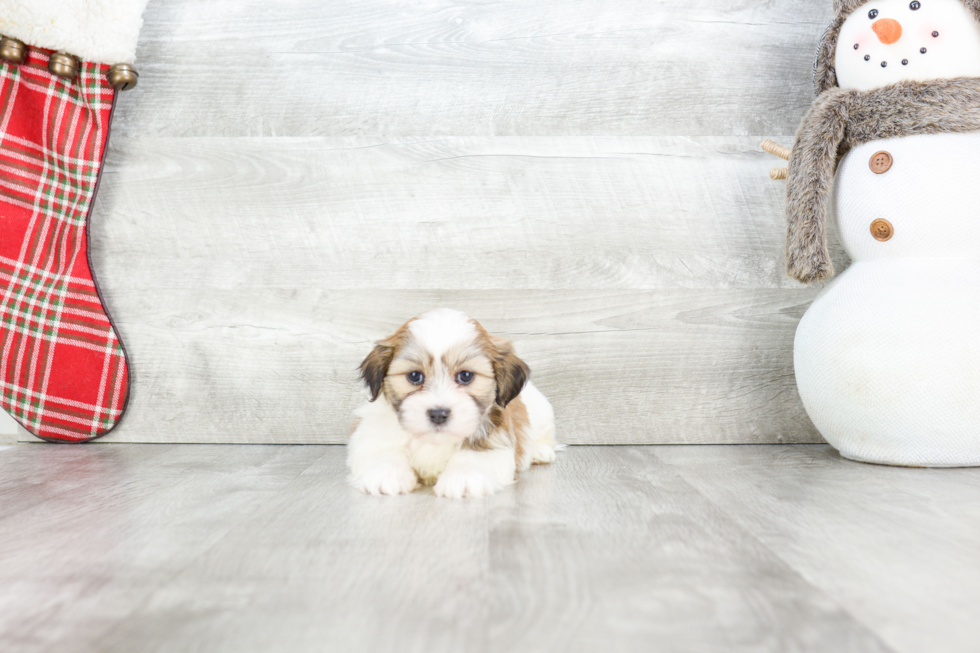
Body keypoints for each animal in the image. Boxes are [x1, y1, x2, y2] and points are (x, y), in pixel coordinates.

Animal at [346, 308, 560, 496]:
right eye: (415, 376)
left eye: (465, 376)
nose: (438, 414)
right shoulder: (370, 434)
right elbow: (382, 449)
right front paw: (386, 473)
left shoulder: (495, 438)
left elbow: (476, 455)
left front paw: (464, 477)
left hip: (542, 410)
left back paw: (539, 452)